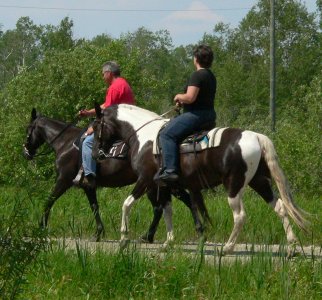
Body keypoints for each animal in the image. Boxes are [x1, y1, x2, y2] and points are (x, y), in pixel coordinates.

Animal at [24, 108, 204, 244]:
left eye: (28, 130)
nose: (25, 152)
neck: (65, 143)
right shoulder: (88, 186)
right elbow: (95, 207)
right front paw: (98, 233)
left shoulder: (63, 180)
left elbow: (49, 200)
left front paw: (41, 226)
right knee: (164, 207)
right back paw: (150, 236)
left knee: (178, 202)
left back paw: (196, 231)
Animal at [92, 103, 308, 255]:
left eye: (95, 127)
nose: (96, 154)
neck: (144, 137)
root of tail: (255, 136)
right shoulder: (164, 185)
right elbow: (167, 211)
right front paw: (168, 243)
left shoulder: (146, 180)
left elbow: (126, 204)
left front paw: (123, 239)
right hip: (260, 181)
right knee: (280, 207)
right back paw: (292, 247)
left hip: (234, 185)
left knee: (240, 216)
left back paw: (227, 248)